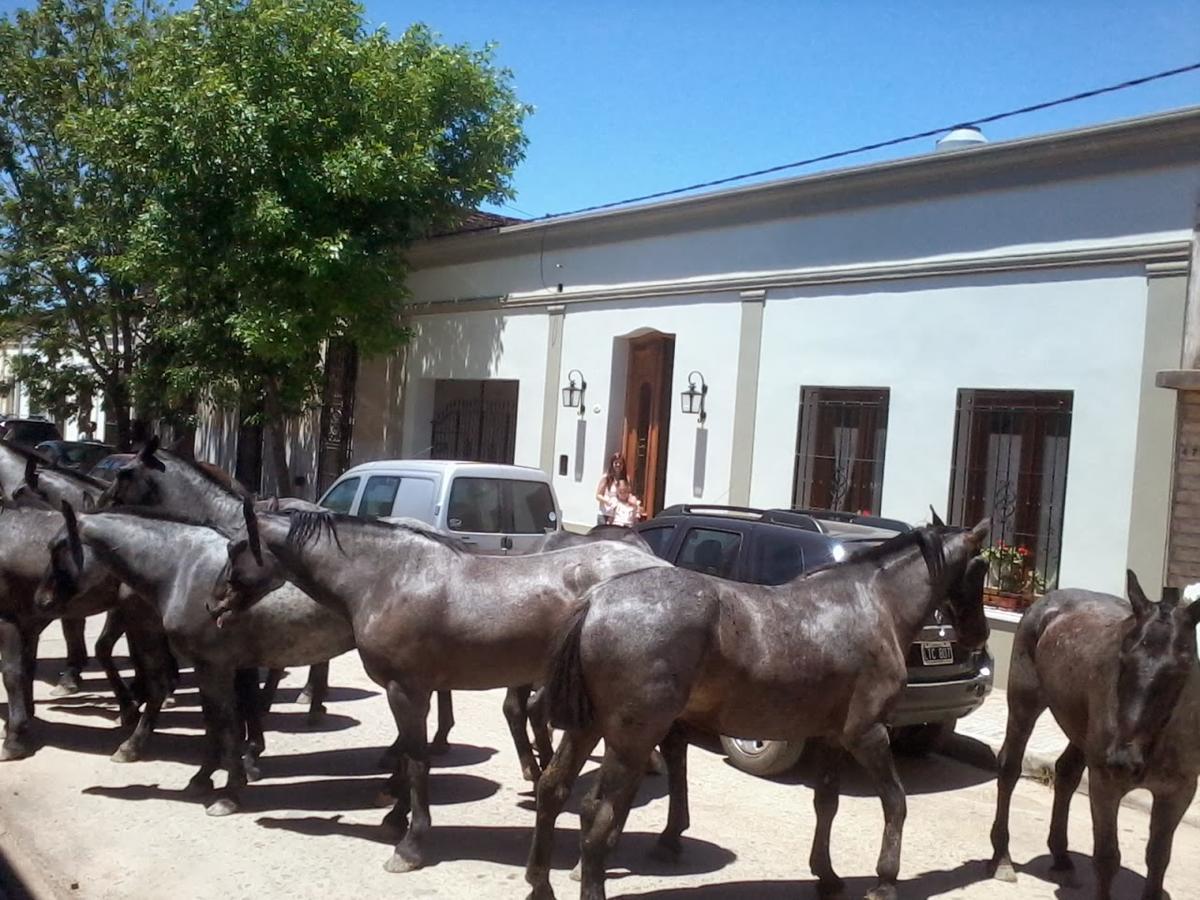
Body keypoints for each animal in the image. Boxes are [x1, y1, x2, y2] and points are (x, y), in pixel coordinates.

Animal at [211, 501, 672, 873]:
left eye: (235, 548)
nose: (213, 602)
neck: (388, 578)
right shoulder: (414, 690)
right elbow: (408, 756)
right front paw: (394, 818)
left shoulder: (405, 690)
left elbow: (416, 761)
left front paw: (411, 845)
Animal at [530, 520, 988, 900]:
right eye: (981, 569)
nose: (978, 633)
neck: (873, 605)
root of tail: (596, 600)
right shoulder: (867, 734)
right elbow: (895, 802)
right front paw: (885, 881)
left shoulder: (832, 738)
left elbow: (826, 803)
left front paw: (827, 875)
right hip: (632, 739)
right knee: (598, 819)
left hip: (589, 728)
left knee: (553, 790)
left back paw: (540, 883)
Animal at [984, 573, 1200, 897]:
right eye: (1123, 658)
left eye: (1182, 669)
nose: (1123, 762)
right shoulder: (1105, 785)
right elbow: (1107, 857)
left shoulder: (1177, 794)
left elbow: (1159, 858)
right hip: (1024, 703)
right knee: (1009, 768)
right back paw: (1002, 859)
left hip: (1079, 733)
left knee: (1066, 773)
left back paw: (1062, 859)